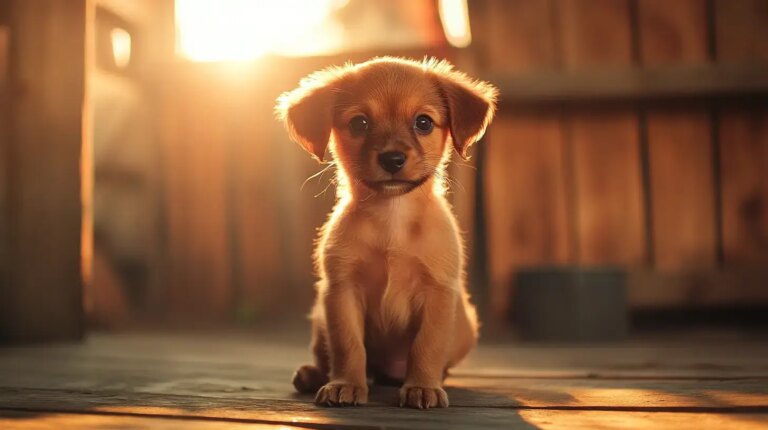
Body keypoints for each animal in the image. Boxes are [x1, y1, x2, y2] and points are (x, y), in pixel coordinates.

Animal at [276, 57, 498, 410]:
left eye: (423, 122)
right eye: (359, 124)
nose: (392, 159)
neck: (392, 219)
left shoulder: (437, 292)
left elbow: (427, 346)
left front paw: (422, 386)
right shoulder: (342, 291)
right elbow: (348, 345)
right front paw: (346, 384)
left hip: (465, 327)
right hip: (320, 320)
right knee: (329, 357)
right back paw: (314, 375)